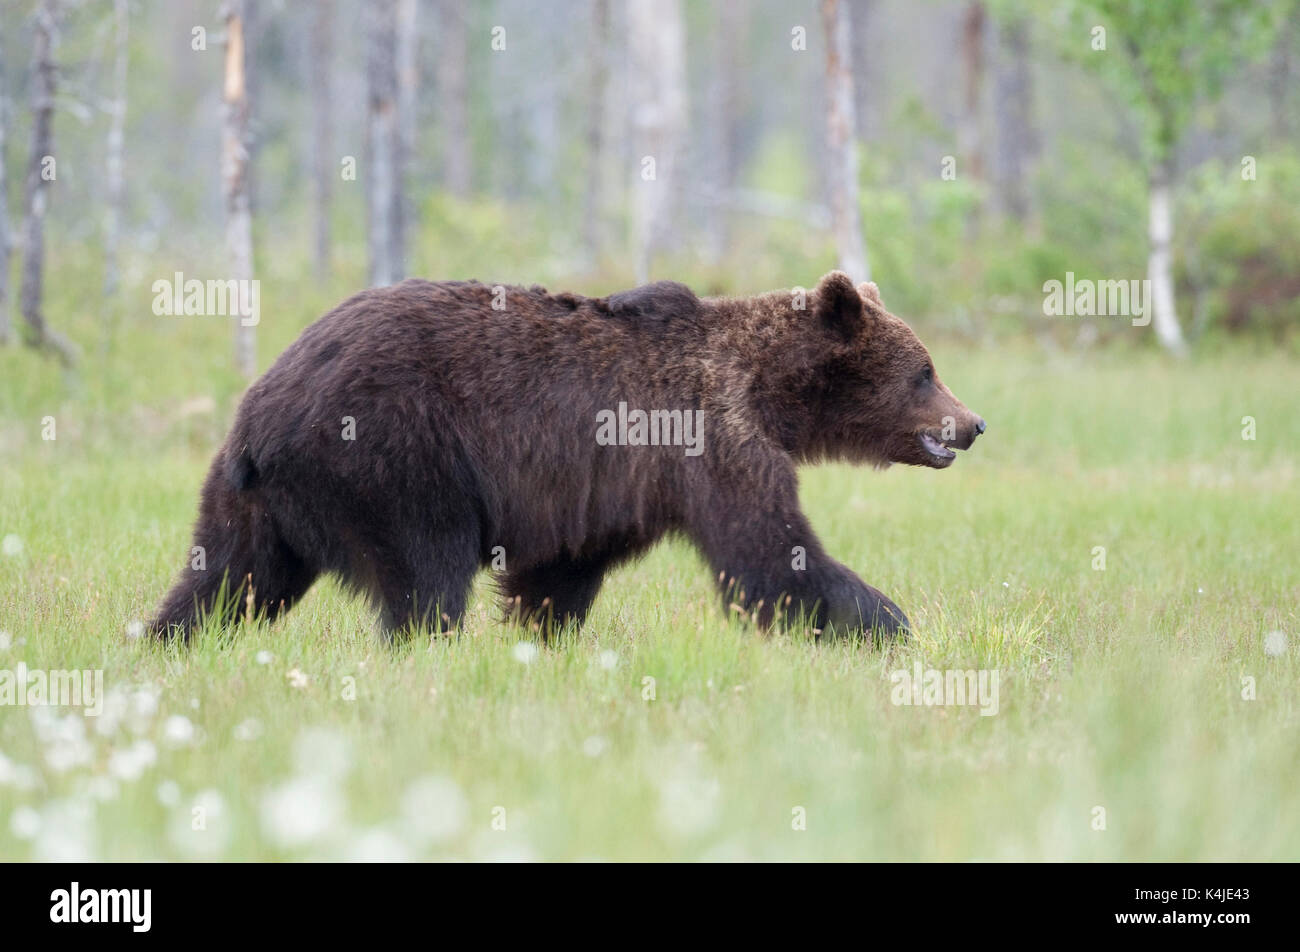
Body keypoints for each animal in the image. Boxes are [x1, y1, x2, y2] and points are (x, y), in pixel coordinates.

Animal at [149, 271, 982, 642]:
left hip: (251, 495)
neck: (772, 392)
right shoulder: (714, 439)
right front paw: (891, 622)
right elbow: (773, 558)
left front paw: (541, 630)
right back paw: (425, 646)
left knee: (229, 579)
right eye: (924, 371)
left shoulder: (607, 487)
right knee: (426, 572)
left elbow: (561, 569)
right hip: (393, 451)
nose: (972, 423)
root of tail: (265, 412)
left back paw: (168, 642)